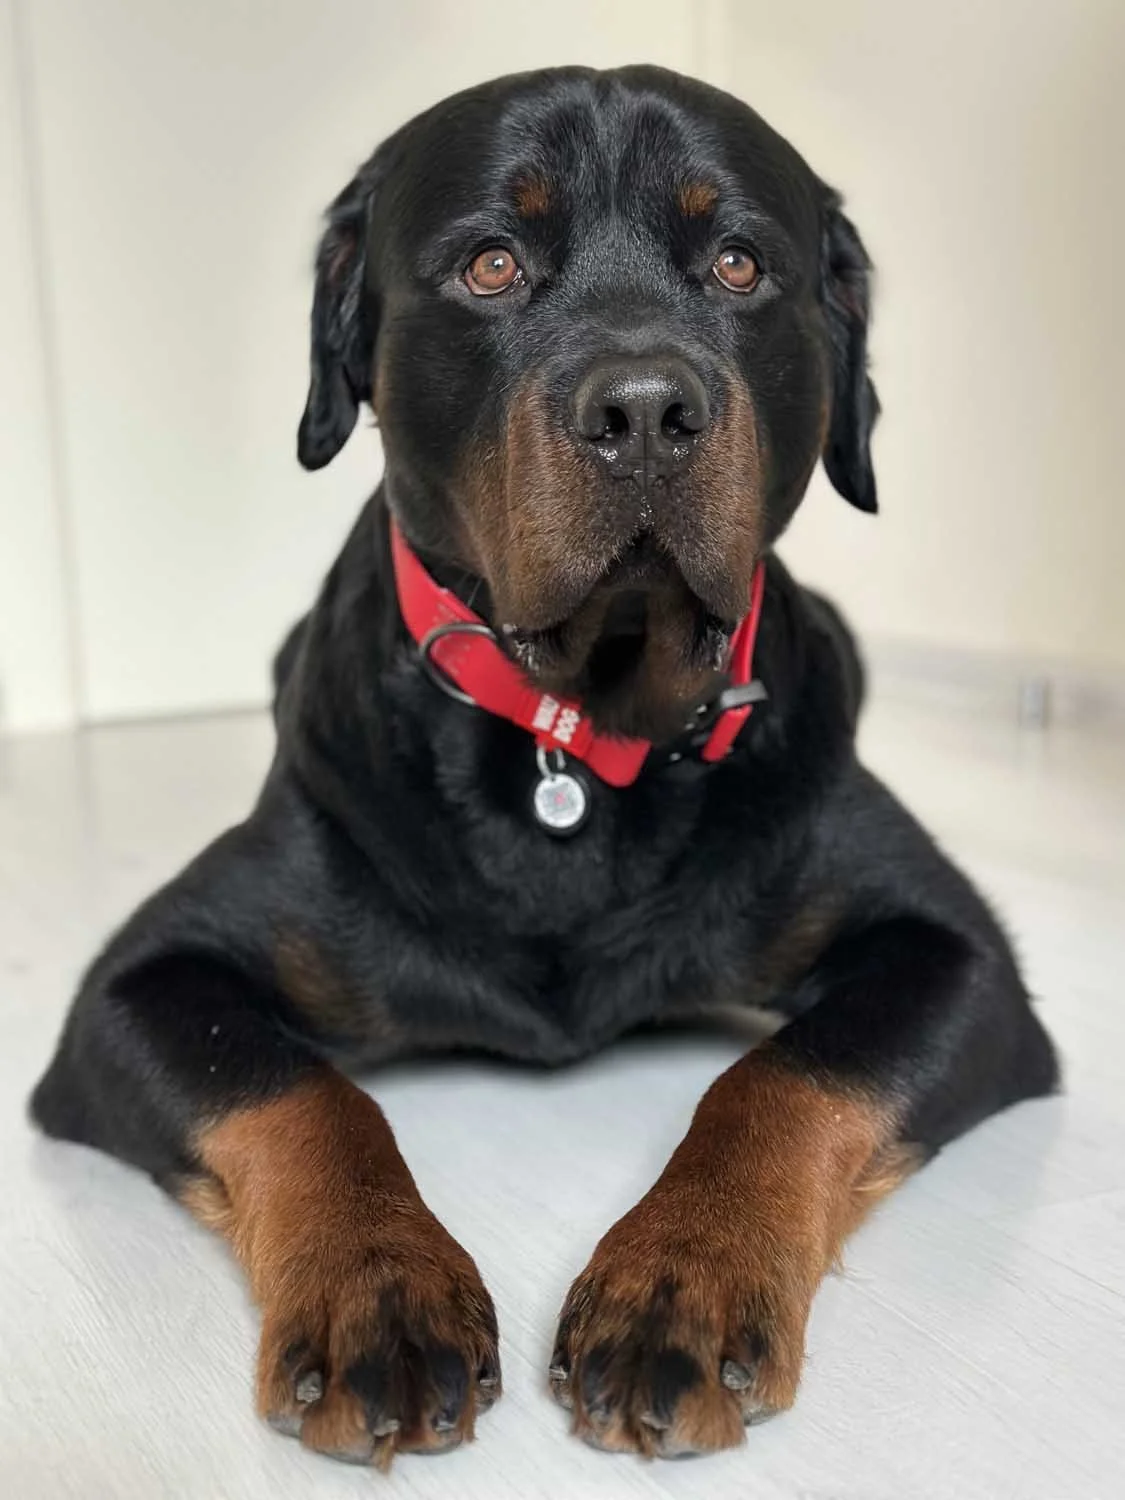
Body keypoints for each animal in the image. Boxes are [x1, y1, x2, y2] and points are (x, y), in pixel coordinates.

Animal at [31, 65, 1057, 1464]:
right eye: (492, 264)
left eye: (740, 264)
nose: (644, 410)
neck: (579, 722)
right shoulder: (136, 986)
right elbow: (300, 1093)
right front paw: (376, 1287)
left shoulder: (960, 960)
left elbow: (785, 1077)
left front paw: (685, 1275)